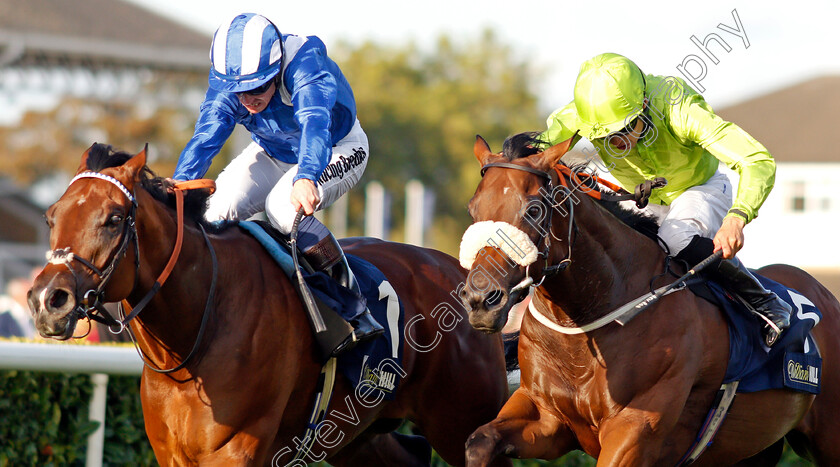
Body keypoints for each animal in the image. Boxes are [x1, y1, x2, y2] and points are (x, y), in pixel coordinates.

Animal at [27, 144, 506, 466]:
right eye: (51, 216)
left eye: (112, 219)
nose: (47, 300)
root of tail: (462, 272)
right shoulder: (170, 452)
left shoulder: (237, 449)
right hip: (359, 434)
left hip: (463, 425)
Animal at [456, 133, 840, 466]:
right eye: (473, 209)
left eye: (534, 210)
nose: (480, 299)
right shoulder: (546, 417)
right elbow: (480, 441)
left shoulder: (634, 431)